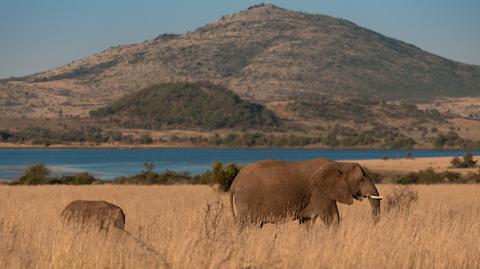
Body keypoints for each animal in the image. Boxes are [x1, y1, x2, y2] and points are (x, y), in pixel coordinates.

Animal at [229, 158, 382, 225]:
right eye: (361, 180)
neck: (339, 164)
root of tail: (234, 182)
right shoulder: (319, 191)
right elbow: (332, 218)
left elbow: (306, 222)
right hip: (247, 199)